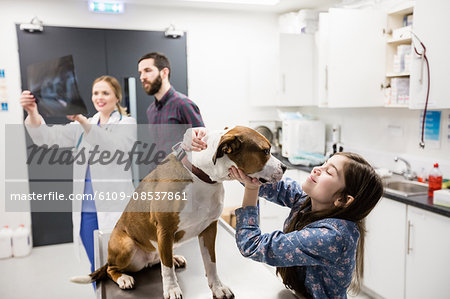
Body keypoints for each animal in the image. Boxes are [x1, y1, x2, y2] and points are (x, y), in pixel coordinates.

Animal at [72, 126, 286, 299]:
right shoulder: (165, 230)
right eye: (265, 151)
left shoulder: (209, 229)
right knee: (112, 268)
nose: (284, 166)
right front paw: (171, 289)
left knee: (160, 258)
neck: (202, 176)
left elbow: (211, 263)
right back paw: (123, 278)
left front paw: (217, 288)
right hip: (126, 246)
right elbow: (166, 270)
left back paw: (173, 258)